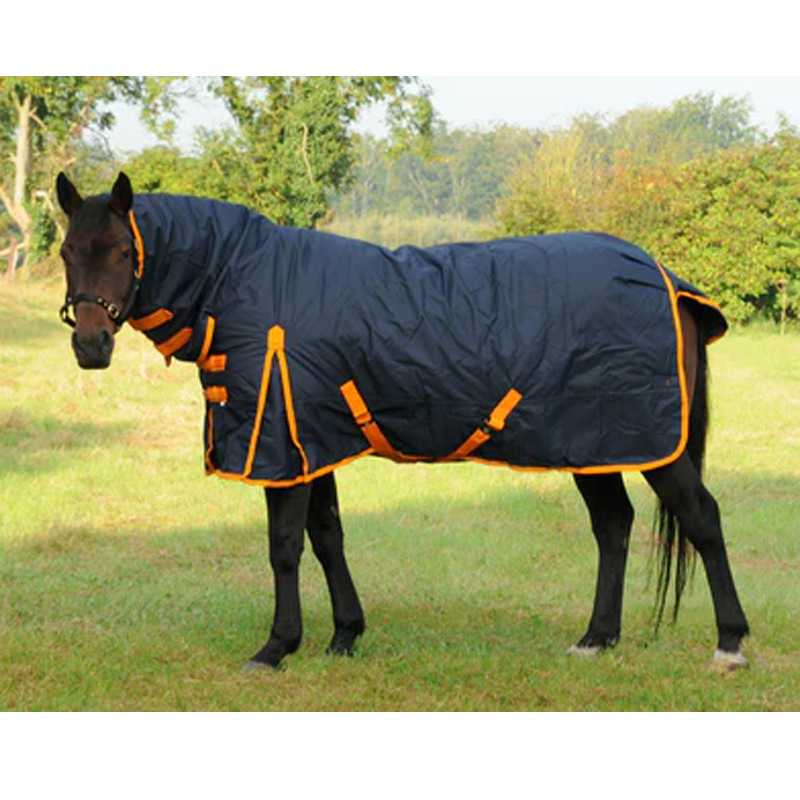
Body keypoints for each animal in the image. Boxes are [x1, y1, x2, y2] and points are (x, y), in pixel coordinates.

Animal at [55, 171, 750, 671]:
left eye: (123, 250)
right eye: (67, 251)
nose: (90, 347)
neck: (242, 280)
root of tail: (669, 281)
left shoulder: (282, 444)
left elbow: (284, 547)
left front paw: (277, 647)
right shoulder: (314, 442)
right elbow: (327, 538)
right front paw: (344, 636)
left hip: (650, 443)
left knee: (702, 518)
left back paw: (730, 644)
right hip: (594, 440)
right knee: (613, 526)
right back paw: (596, 638)